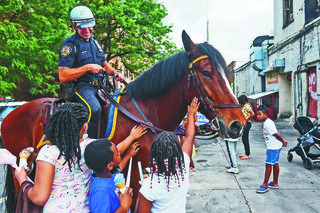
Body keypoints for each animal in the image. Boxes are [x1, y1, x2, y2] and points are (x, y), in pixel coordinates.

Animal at [1, 30, 245, 211]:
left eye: (226, 73)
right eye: (206, 73)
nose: (237, 124)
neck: (146, 114)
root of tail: (11, 113)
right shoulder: (136, 173)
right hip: (20, 164)